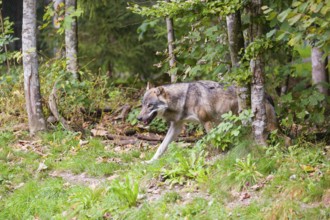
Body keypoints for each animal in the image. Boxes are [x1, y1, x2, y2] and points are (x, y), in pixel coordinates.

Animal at [137, 81, 278, 163]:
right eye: (142, 105)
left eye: (150, 105)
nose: (138, 118)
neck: (184, 99)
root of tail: (266, 94)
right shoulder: (176, 126)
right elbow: (161, 147)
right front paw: (151, 161)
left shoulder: (207, 122)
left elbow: (215, 142)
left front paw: (216, 157)